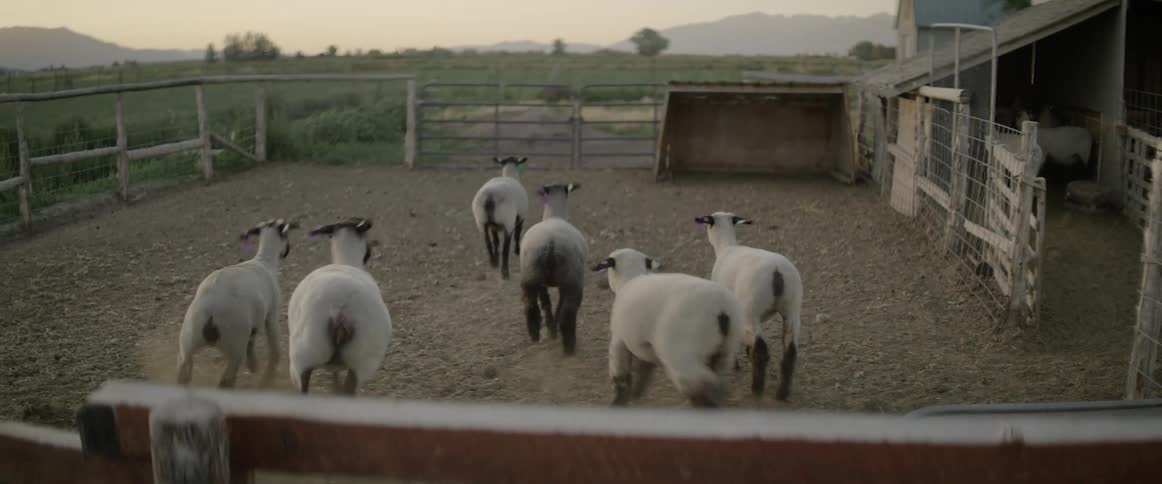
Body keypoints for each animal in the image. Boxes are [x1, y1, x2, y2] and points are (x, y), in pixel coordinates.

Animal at [176, 218, 298, 388]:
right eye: (286, 235)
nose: (287, 251)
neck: (264, 261)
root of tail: (210, 313)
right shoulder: (271, 313)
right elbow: (274, 348)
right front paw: (267, 376)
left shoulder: (254, 321)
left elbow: (252, 340)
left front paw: (253, 365)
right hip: (234, 346)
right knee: (226, 381)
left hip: (187, 343)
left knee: (182, 375)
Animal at [518, 183, 587, 355]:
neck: (554, 216)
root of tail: (551, 242)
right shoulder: (563, 284)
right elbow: (556, 305)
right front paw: (552, 331)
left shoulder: (543, 283)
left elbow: (547, 303)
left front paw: (551, 330)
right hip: (573, 280)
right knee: (568, 313)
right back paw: (569, 347)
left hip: (530, 276)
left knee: (531, 307)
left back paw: (535, 334)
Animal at [593, 248, 745, 408]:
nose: (600, 284)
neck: (629, 278)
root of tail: (721, 310)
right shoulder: (643, 345)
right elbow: (643, 369)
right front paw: (636, 393)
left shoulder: (619, 338)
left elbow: (619, 373)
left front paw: (619, 401)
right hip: (725, 351)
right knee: (714, 380)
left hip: (682, 354)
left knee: (702, 385)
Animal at [695, 211, 804, 401]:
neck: (726, 246)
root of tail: (777, 272)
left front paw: (737, 361)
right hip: (792, 309)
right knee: (790, 351)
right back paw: (782, 393)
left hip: (751, 310)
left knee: (761, 348)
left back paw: (757, 388)